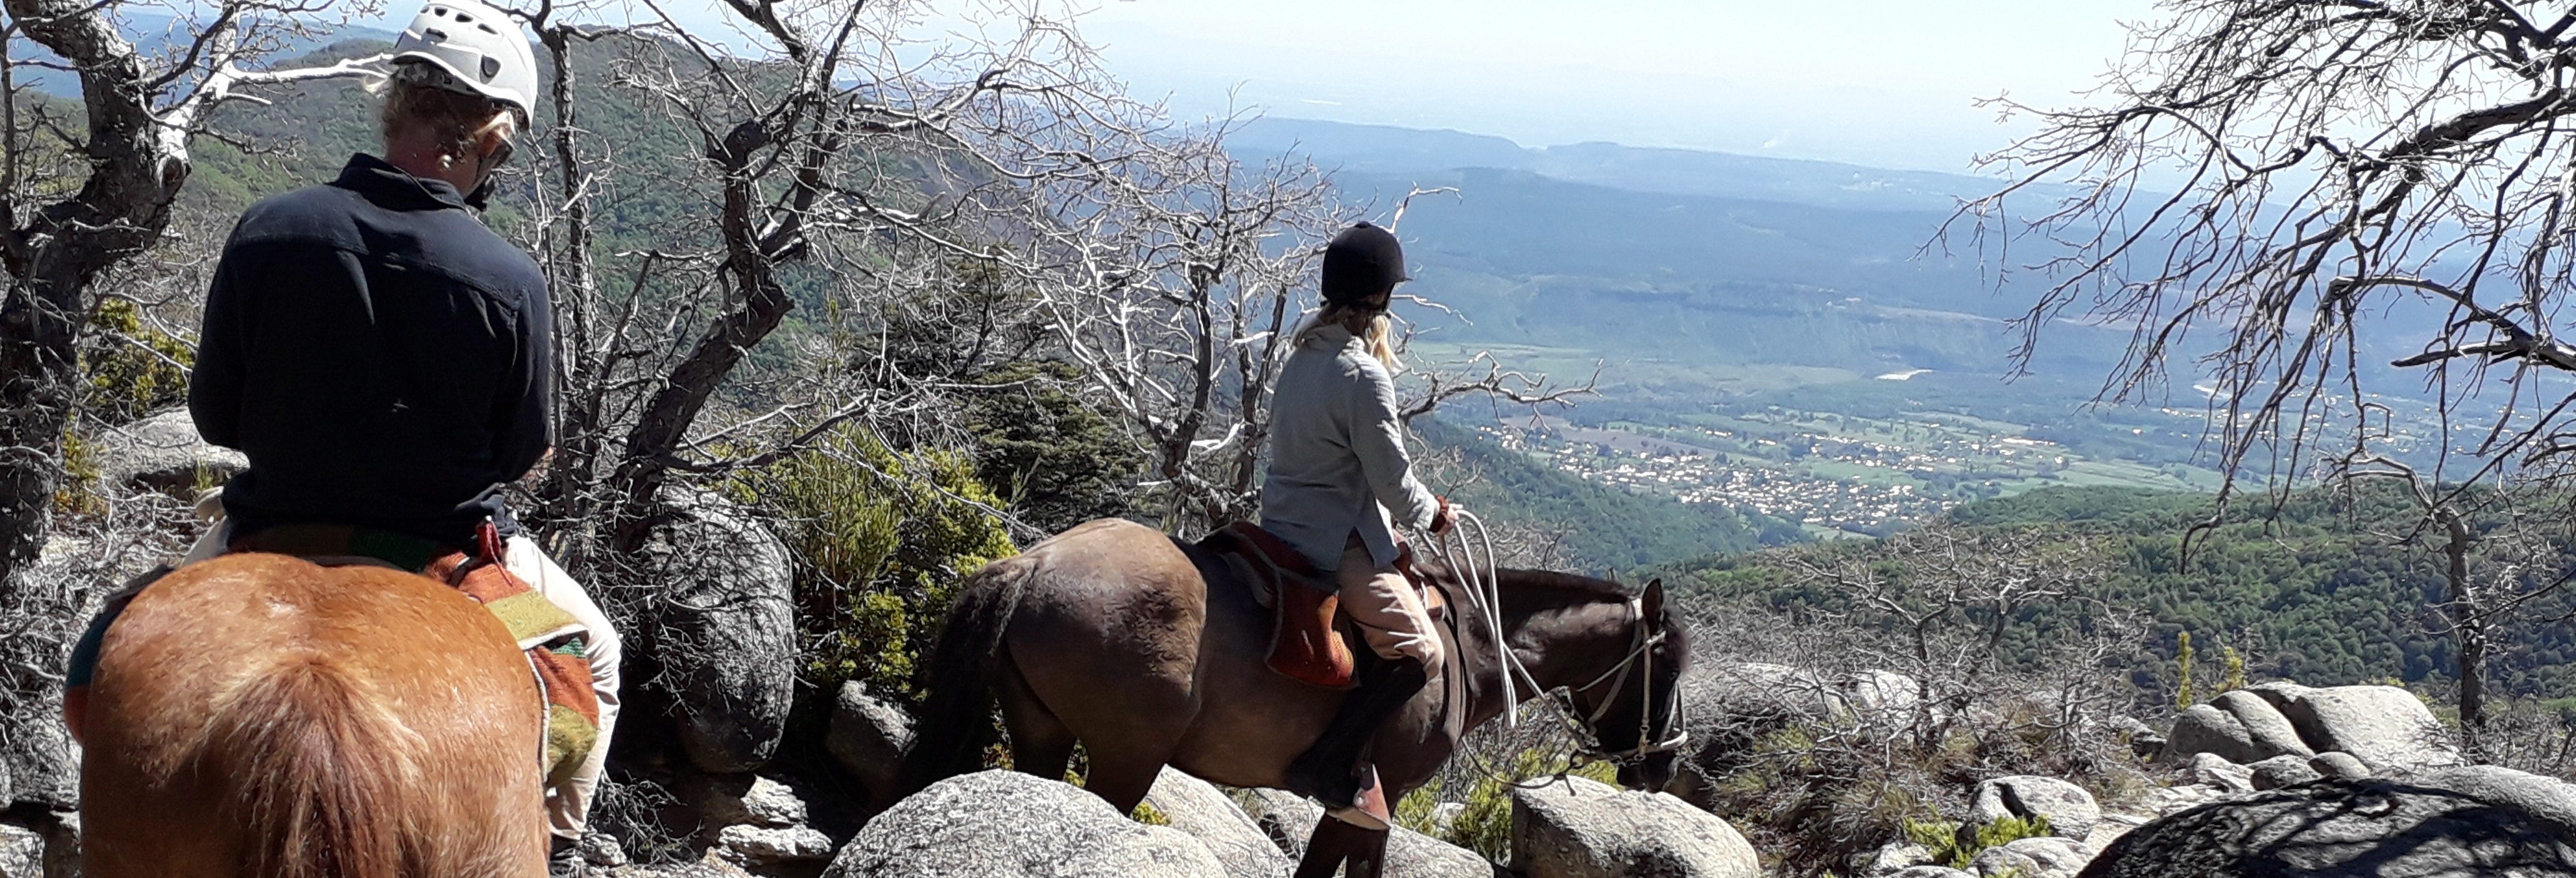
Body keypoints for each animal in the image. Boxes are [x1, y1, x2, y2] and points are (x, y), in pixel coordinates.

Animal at [901, 517, 1689, 865]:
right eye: (1671, 667)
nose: (1664, 764)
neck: (1466, 644)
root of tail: (1033, 563)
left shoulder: (1358, 807)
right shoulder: (1374, 802)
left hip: (1042, 733)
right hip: (1126, 759)